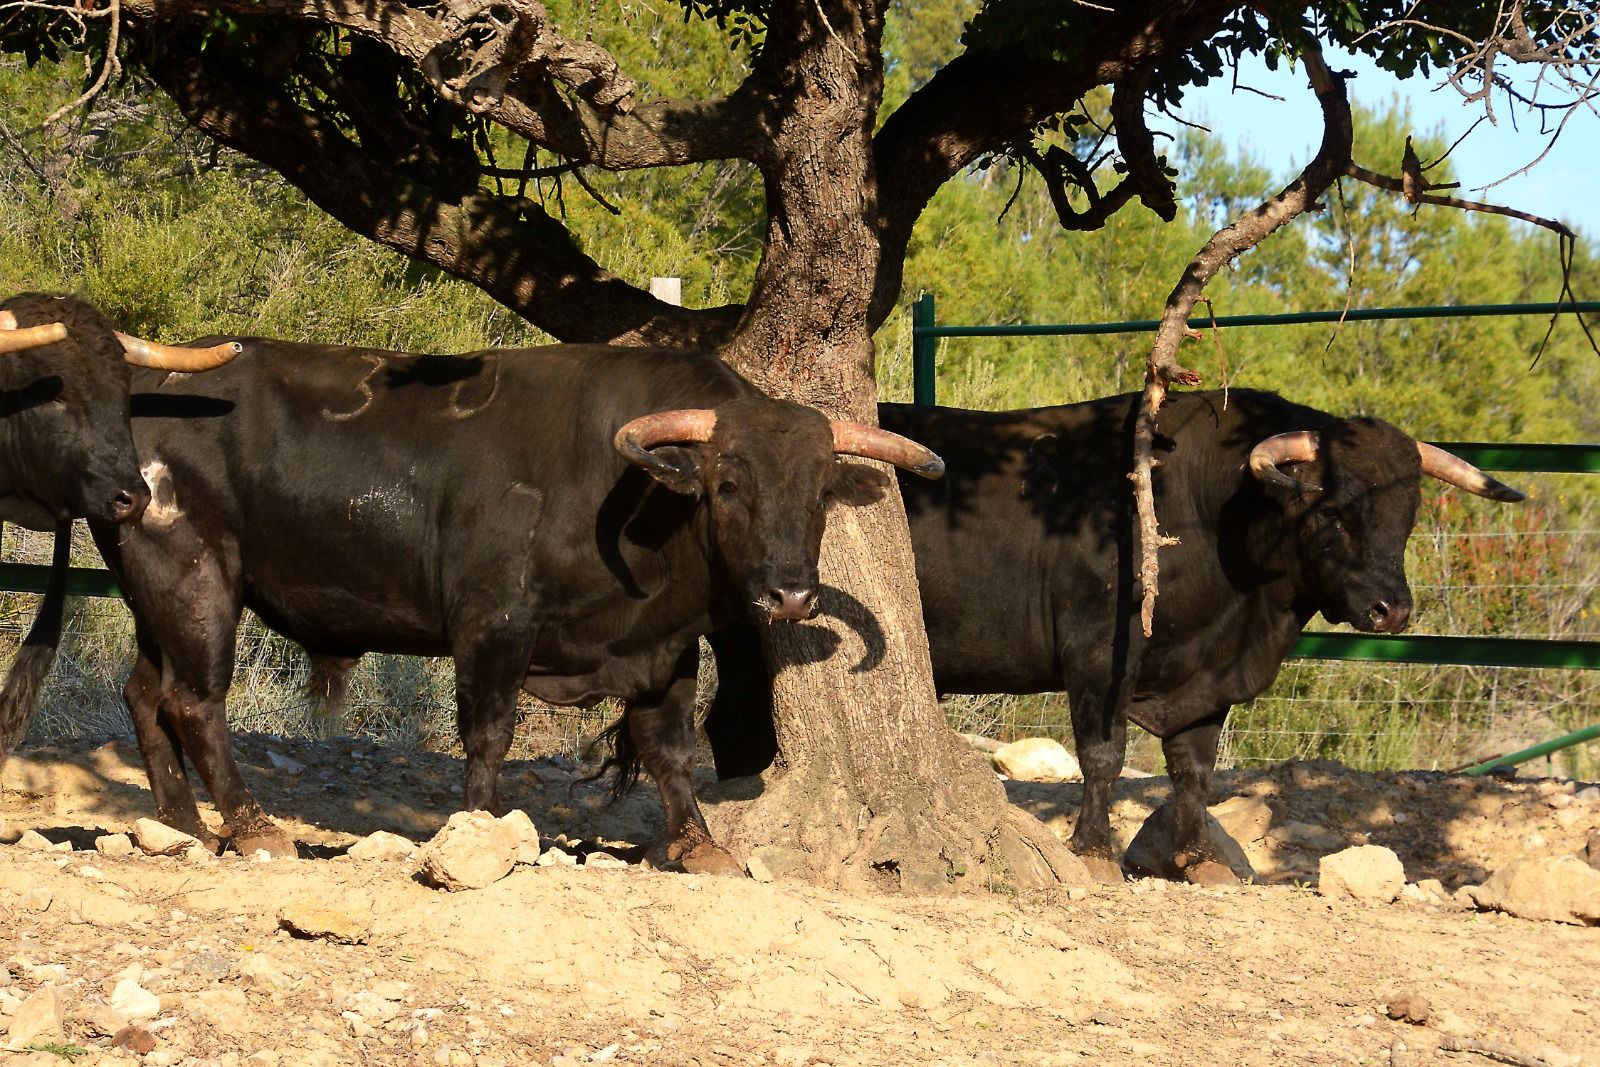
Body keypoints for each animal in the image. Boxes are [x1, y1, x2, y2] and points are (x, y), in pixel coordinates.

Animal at [43, 337, 940, 870]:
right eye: (728, 483)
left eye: (820, 493)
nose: (790, 593)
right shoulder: (494, 625)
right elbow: (488, 734)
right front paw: (478, 829)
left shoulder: (665, 650)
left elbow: (670, 750)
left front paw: (698, 842)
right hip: (195, 578)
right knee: (195, 701)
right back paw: (252, 823)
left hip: (154, 593)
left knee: (146, 693)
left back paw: (183, 825)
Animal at [710, 391, 1523, 883]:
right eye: (1332, 509)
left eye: (1407, 515)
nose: (1393, 609)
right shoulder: (1099, 652)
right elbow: (1102, 755)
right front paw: (1094, 849)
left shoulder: (1205, 678)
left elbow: (1194, 770)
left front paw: (1195, 856)